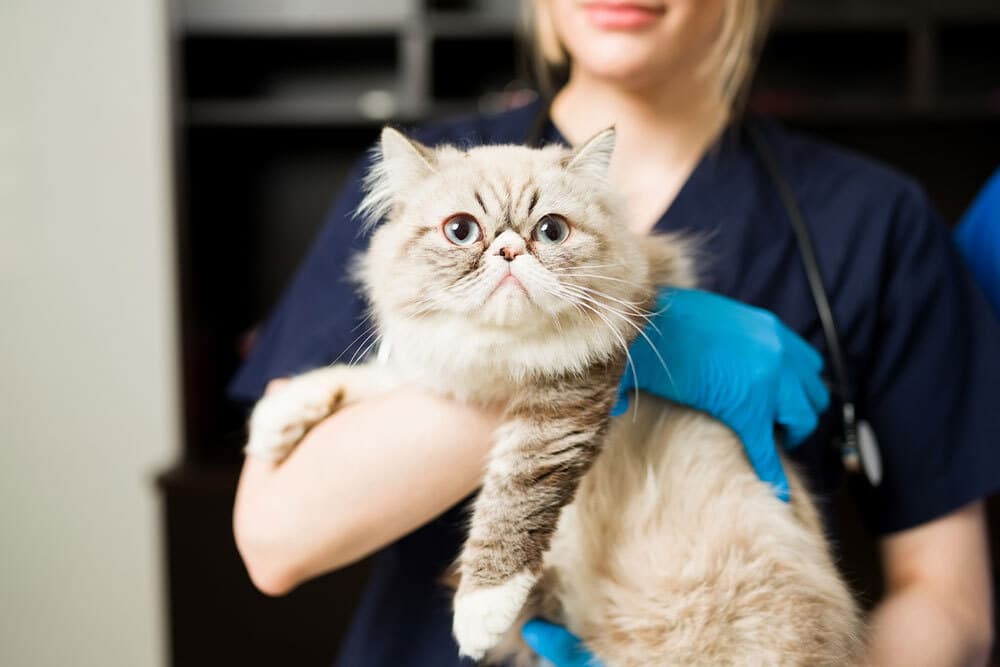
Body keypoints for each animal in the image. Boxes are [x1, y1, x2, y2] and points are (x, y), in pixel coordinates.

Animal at [244, 124, 868, 664]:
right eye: (461, 230)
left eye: (550, 231)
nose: (510, 252)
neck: (500, 363)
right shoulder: (445, 371)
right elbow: (372, 376)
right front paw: (275, 423)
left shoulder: (564, 403)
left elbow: (511, 503)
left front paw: (479, 614)